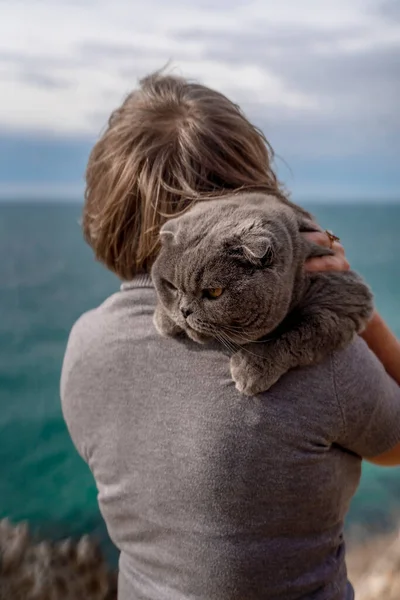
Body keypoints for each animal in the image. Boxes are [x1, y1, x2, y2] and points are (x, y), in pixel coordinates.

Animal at [152, 192, 374, 396]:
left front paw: (250, 368)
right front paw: (164, 317)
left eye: (214, 292)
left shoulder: (343, 301)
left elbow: (296, 335)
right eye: (172, 286)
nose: (184, 311)